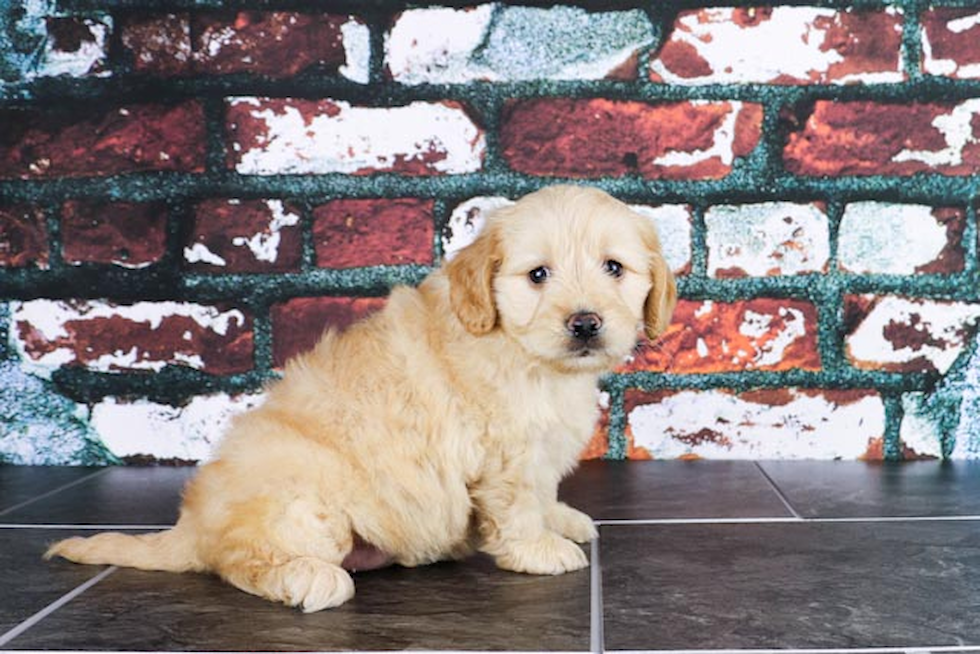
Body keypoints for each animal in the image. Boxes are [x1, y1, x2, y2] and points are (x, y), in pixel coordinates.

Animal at [44, 186, 672, 616]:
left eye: (614, 268)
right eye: (538, 275)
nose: (585, 323)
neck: (530, 358)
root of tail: (190, 528)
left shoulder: (538, 451)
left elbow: (543, 494)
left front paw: (560, 520)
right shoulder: (503, 457)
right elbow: (517, 507)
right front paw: (539, 550)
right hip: (307, 500)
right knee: (237, 561)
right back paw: (311, 579)